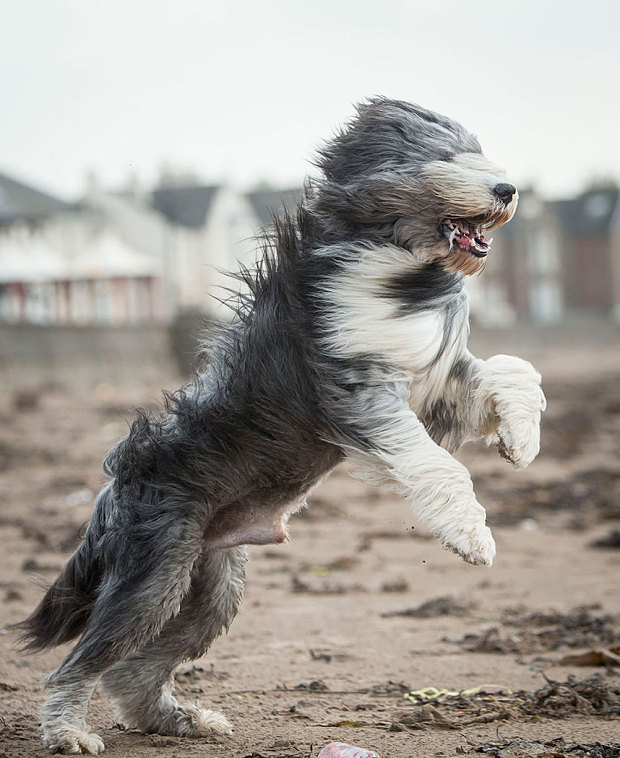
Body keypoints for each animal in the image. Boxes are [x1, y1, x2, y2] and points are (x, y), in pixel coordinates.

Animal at [17, 99, 544, 756]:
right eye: (443, 156)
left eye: (477, 152)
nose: (507, 189)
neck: (393, 264)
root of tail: (111, 493)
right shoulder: (356, 388)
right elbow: (436, 463)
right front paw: (472, 537)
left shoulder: (436, 386)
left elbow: (513, 369)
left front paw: (522, 439)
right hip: (154, 569)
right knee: (83, 661)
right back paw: (68, 731)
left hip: (211, 584)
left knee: (132, 670)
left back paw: (181, 721)